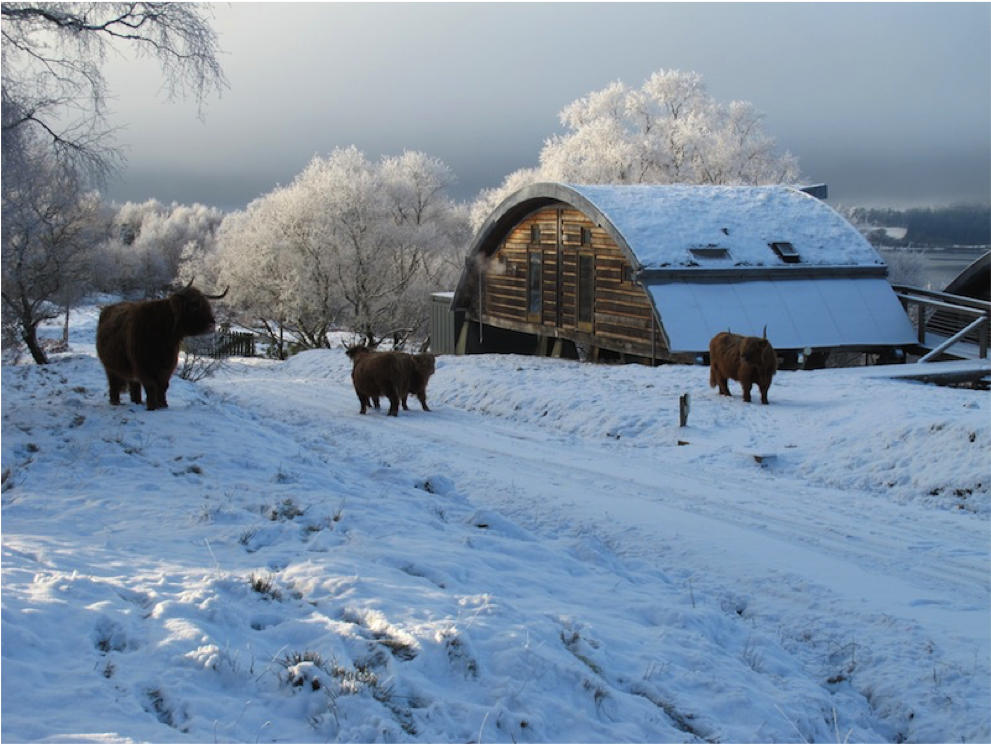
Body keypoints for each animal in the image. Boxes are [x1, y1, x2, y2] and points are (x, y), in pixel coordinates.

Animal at [96, 283, 228, 411]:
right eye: (194, 307)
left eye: (207, 306)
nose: (211, 325)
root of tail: (108, 308)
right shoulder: (142, 364)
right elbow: (151, 385)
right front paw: (152, 406)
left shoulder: (168, 365)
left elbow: (163, 386)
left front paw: (163, 404)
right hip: (110, 366)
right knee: (114, 382)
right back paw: (115, 402)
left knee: (134, 385)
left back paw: (137, 402)